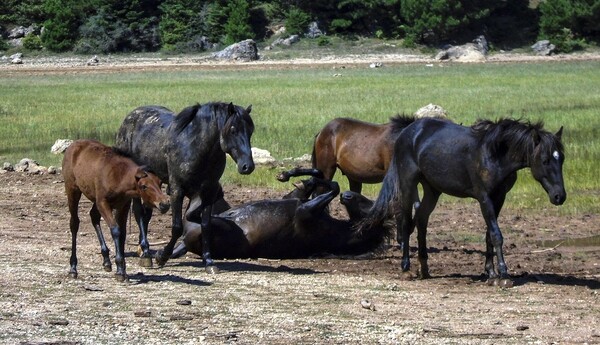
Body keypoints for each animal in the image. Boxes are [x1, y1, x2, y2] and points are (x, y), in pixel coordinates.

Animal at [62, 138, 170, 280]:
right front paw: (120, 270)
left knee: (93, 216)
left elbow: (123, 234)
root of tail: (72, 146)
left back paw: (106, 260)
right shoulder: (103, 202)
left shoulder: (123, 205)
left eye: (159, 182)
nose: (164, 204)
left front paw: (123, 269)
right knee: (74, 223)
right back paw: (73, 268)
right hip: (73, 190)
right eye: (144, 186)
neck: (119, 178)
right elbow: (116, 231)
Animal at [113, 101, 254, 272]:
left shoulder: (208, 191)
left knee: (146, 215)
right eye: (233, 130)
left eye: (251, 131)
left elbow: (206, 226)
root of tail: (129, 118)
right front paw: (162, 256)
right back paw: (146, 254)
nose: (247, 166)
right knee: (139, 213)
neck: (194, 146)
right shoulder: (176, 191)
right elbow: (177, 227)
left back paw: (143, 250)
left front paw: (209, 261)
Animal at [179, 167, 390, 258]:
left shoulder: (304, 212)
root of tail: (185, 243)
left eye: (368, 205)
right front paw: (291, 175)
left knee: (194, 217)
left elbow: (334, 185)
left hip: (215, 228)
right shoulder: (299, 201)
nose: (348, 195)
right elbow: (317, 178)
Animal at [358, 117, 564, 286]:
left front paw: (491, 273)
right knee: (407, 222)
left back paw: (424, 268)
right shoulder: (484, 197)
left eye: (561, 159)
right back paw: (406, 267)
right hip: (408, 183)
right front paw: (504, 274)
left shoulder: (499, 197)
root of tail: (407, 132)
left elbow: (489, 235)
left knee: (422, 220)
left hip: (432, 190)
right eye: (545, 160)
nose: (559, 196)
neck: (494, 154)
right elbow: (496, 234)